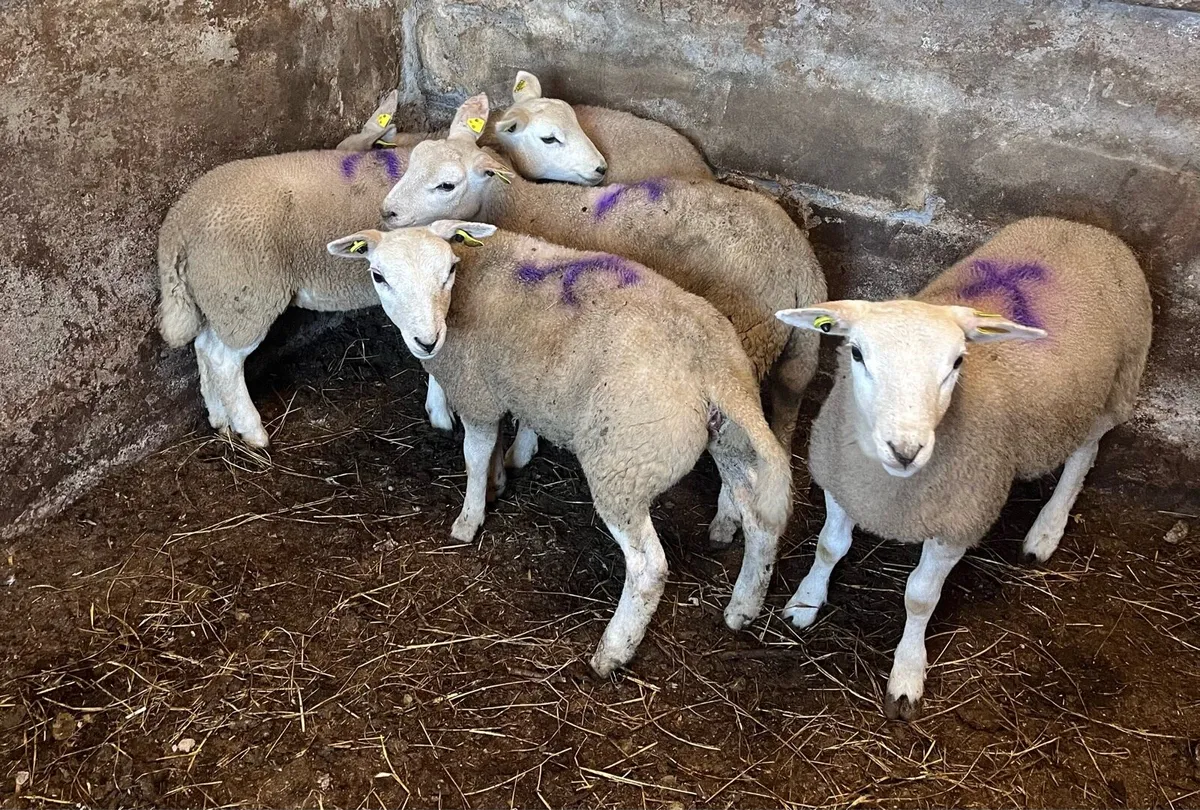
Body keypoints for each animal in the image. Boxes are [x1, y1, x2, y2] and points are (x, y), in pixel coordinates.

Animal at [326, 220, 793, 676]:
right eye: (379, 276)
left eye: (449, 271)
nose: (427, 340)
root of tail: (714, 368)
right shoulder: (509, 383)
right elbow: (504, 439)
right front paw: (502, 477)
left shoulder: (476, 392)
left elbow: (475, 456)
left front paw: (469, 519)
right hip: (729, 439)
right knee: (760, 522)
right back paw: (742, 608)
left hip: (624, 463)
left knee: (648, 568)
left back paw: (613, 652)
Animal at [379, 96, 826, 529]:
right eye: (413, 161)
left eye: (446, 184)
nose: (388, 213)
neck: (521, 205)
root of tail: (801, 261)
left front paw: (510, 452)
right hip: (795, 357)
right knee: (782, 422)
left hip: (746, 337)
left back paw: (725, 517)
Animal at [774, 217, 1153, 721]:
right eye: (856, 353)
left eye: (957, 361)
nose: (905, 449)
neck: (891, 491)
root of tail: (1084, 227)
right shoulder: (842, 482)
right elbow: (829, 547)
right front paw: (805, 602)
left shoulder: (960, 519)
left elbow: (920, 597)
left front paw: (907, 674)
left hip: (1115, 386)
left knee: (1084, 453)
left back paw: (1046, 530)